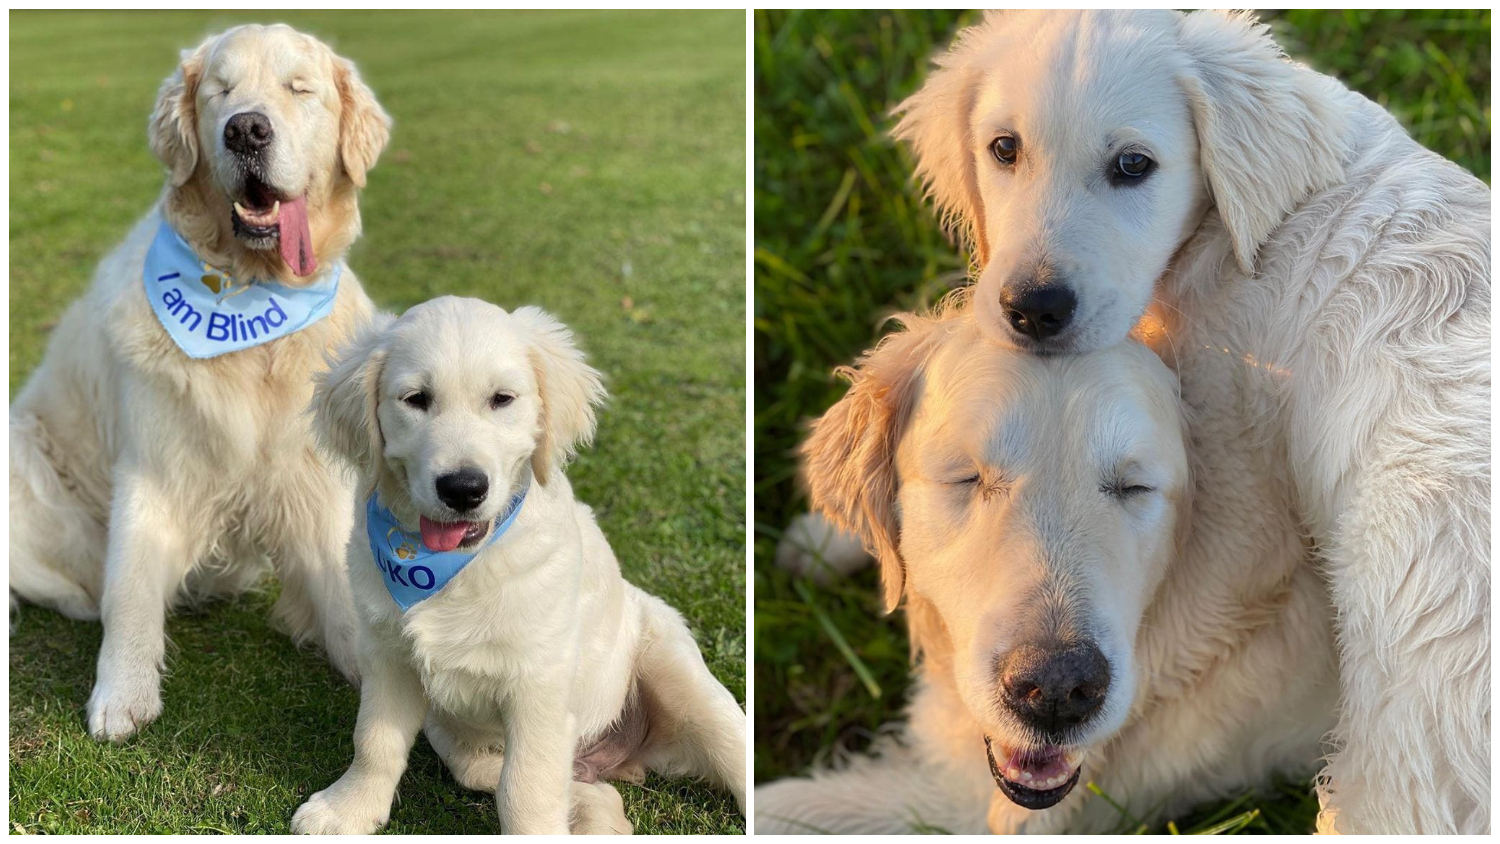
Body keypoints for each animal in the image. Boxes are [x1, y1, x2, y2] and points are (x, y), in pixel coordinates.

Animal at [8, 23, 393, 743]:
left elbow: (345, 600)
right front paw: (121, 695)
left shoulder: (310, 483)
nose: (246, 130)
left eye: (300, 89)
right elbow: (131, 586)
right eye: (221, 91)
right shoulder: (153, 468)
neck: (247, 298)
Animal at [291, 298, 744, 839]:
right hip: (451, 730)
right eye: (416, 399)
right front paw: (348, 809)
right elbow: (375, 741)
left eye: (501, 399)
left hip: (679, 673)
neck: (456, 566)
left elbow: (526, 784)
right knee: (545, 778)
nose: (463, 488)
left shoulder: (540, 682)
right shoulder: (386, 655)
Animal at [762, 302, 1338, 833]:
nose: (1057, 689)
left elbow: (788, 809)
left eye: (1134, 487)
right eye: (967, 477)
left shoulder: (969, 810)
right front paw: (819, 538)